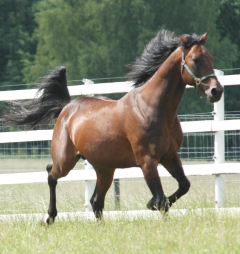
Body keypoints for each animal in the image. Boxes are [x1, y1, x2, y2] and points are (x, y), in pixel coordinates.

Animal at [3, 30, 223, 224]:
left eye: (211, 58)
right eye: (195, 59)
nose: (216, 91)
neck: (152, 108)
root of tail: (67, 107)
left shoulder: (169, 156)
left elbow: (183, 186)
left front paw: (153, 205)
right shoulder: (147, 161)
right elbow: (160, 199)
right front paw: (153, 206)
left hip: (105, 168)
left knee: (96, 201)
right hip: (66, 161)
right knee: (51, 173)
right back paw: (48, 217)